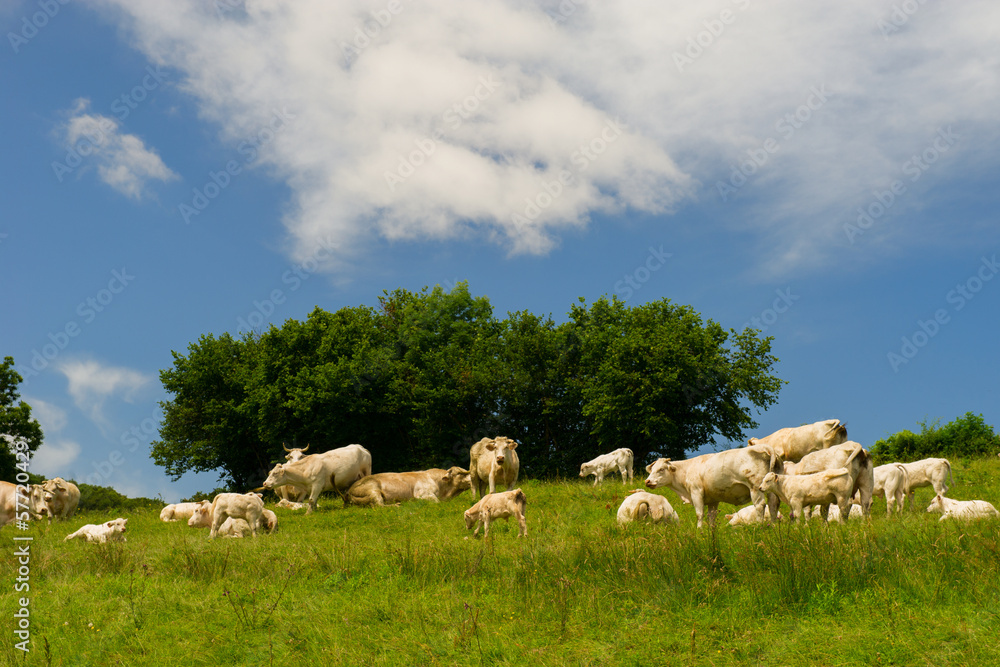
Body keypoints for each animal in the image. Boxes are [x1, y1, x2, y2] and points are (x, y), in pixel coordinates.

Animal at [644, 444, 780, 528]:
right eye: (652, 470)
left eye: (661, 469)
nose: (647, 481)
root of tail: (763, 446)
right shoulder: (713, 499)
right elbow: (712, 517)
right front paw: (711, 531)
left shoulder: (696, 492)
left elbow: (699, 514)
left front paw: (699, 530)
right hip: (770, 487)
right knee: (773, 504)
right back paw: (773, 525)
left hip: (755, 487)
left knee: (760, 505)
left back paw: (758, 525)